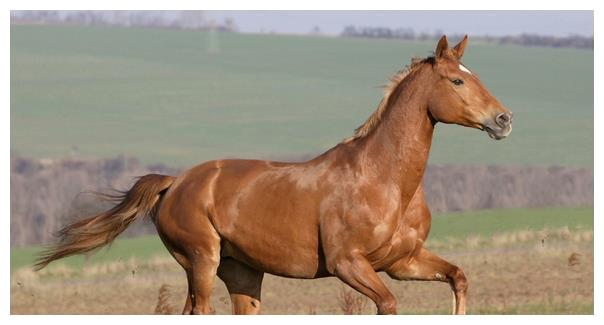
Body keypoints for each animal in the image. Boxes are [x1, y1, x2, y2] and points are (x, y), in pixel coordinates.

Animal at [35, 35, 512, 314]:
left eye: (473, 75)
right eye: (456, 81)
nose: (504, 120)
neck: (386, 182)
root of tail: (175, 183)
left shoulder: (402, 262)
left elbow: (458, 278)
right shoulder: (349, 264)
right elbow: (390, 305)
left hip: (243, 274)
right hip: (201, 262)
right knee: (199, 310)